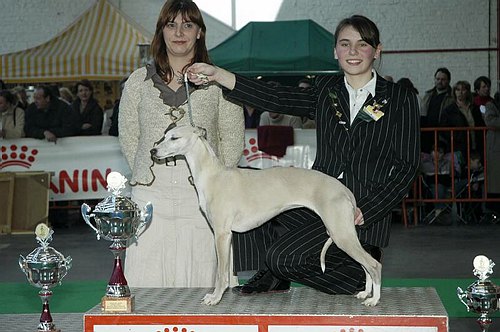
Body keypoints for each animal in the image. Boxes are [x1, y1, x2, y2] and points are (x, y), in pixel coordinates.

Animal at [150, 125, 380, 306]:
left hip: (341, 234)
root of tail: (345, 189)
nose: (153, 150)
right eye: (164, 135)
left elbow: (221, 273)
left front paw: (215, 298)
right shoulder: (227, 235)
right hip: (344, 234)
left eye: (174, 137)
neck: (213, 175)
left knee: (373, 265)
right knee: (365, 264)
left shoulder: (221, 234)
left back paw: (374, 299)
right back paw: (365, 293)